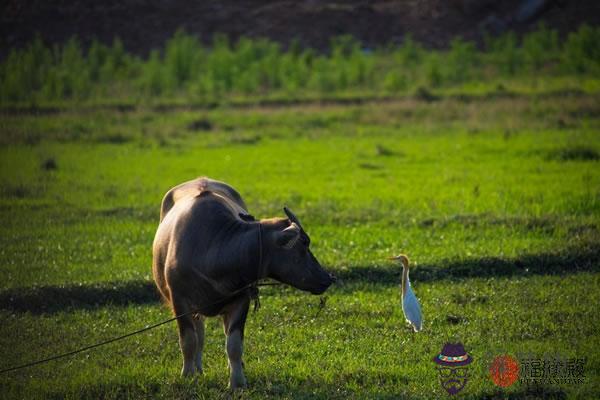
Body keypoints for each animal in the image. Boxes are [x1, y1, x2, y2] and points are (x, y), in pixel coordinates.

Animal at [152, 177, 336, 388]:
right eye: (304, 243)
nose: (328, 278)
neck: (213, 251)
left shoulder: (241, 300)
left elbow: (233, 343)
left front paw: (237, 381)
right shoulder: (179, 301)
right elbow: (189, 339)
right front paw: (188, 375)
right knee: (199, 334)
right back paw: (197, 368)